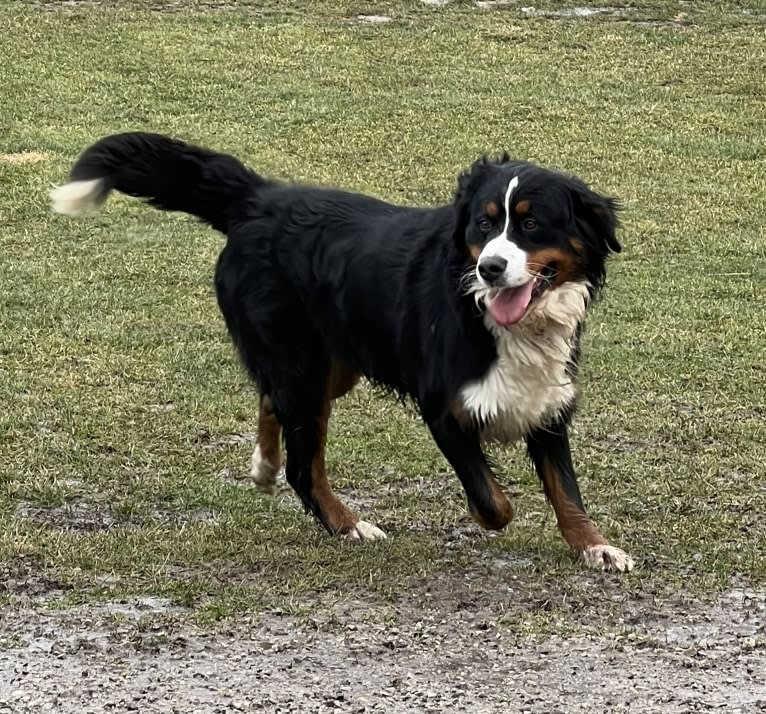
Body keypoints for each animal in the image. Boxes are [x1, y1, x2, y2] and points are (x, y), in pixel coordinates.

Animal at [52, 131, 636, 572]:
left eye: (532, 223)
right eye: (485, 222)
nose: (490, 267)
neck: (495, 318)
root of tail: (261, 199)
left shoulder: (548, 403)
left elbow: (566, 491)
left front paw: (595, 546)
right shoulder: (443, 409)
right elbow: (496, 503)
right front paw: (488, 516)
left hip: (328, 368)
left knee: (273, 405)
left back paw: (264, 464)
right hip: (303, 366)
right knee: (302, 465)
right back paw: (346, 523)